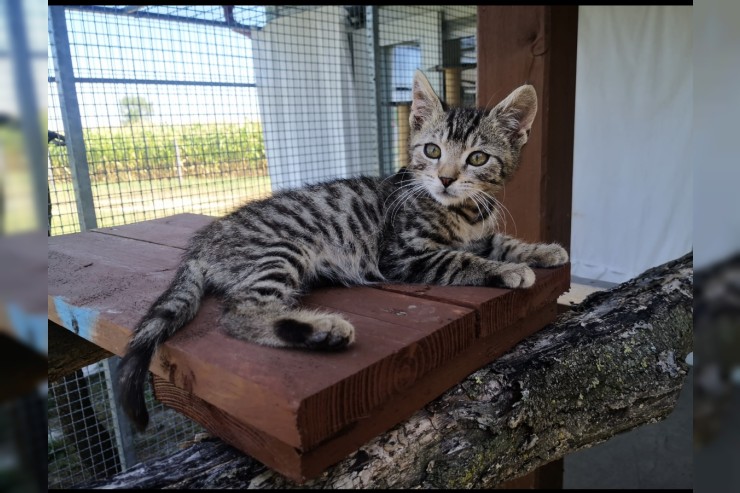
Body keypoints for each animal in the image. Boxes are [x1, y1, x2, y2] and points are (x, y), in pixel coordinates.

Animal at [117, 70, 568, 430]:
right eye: (432, 151)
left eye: (477, 158)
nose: (445, 179)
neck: (463, 212)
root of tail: (206, 238)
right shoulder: (404, 254)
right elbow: (460, 259)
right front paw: (507, 270)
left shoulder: (479, 231)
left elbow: (502, 241)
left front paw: (544, 251)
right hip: (282, 249)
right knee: (238, 313)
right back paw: (322, 329)